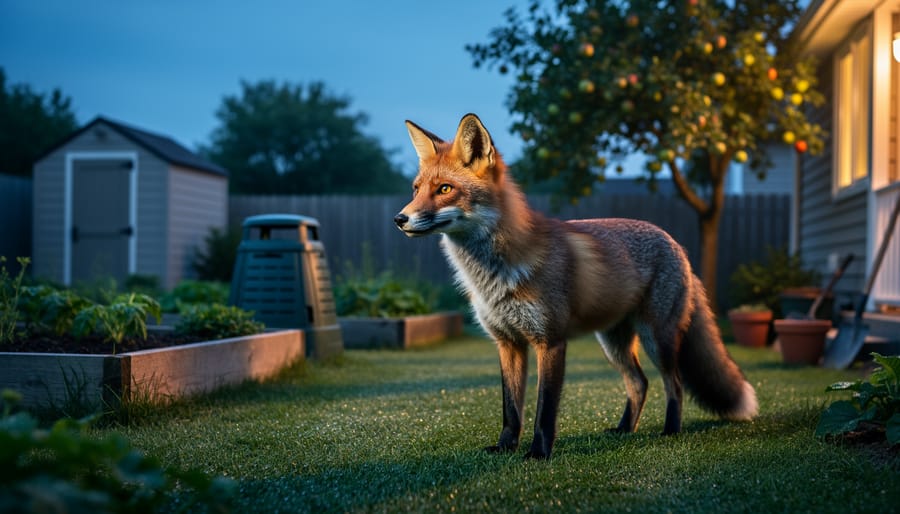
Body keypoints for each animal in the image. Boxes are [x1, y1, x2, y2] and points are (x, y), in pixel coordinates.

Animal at [393, 113, 758, 459]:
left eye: (444, 189)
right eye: (416, 189)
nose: (400, 219)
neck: (494, 275)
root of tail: (676, 244)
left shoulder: (550, 341)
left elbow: (544, 409)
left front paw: (539, 453)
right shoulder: (507, 343)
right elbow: (511, 410)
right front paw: (505, 447)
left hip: (658, 339)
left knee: (675, 384)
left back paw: (671, 431)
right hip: (613, 343)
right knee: (639, 383)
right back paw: (624, 430)